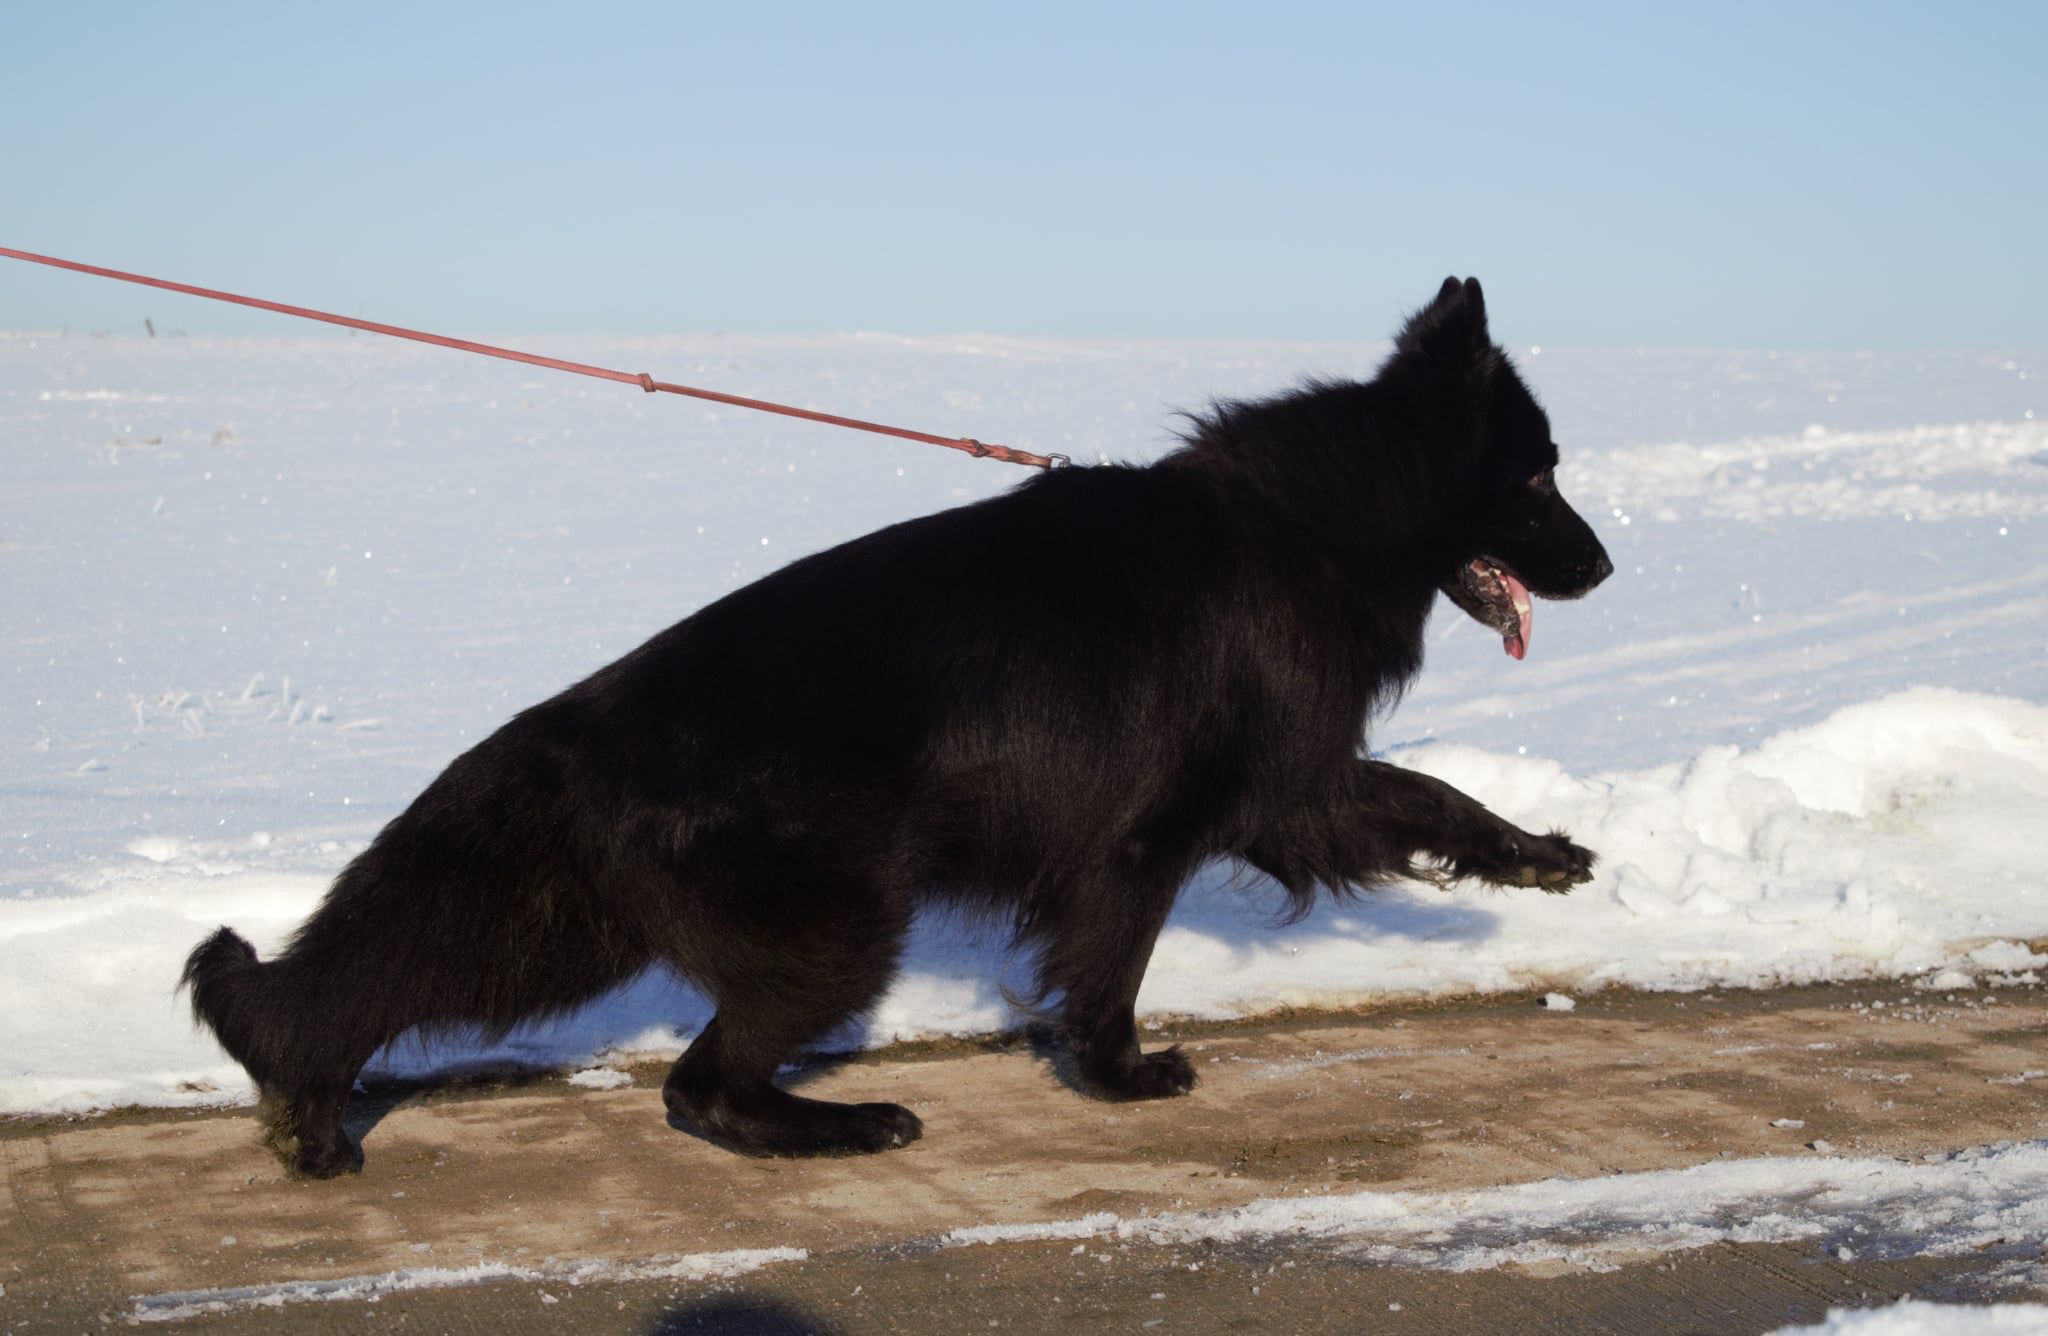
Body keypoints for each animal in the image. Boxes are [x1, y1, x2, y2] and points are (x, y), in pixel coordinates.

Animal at [184, 277, 1612, 1177]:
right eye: (1539, 476)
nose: (1605, 566)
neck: (1309, 521)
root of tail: (580, 724)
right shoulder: (1172, 829)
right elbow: (1118, 964)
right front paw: (1116, 1075)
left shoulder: (1283, 788)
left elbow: (1431, 802)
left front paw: (1540, 857)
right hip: (838, 932)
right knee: (697, 1089)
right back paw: (850, 1125)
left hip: (572, 928)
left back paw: (304, 1104)